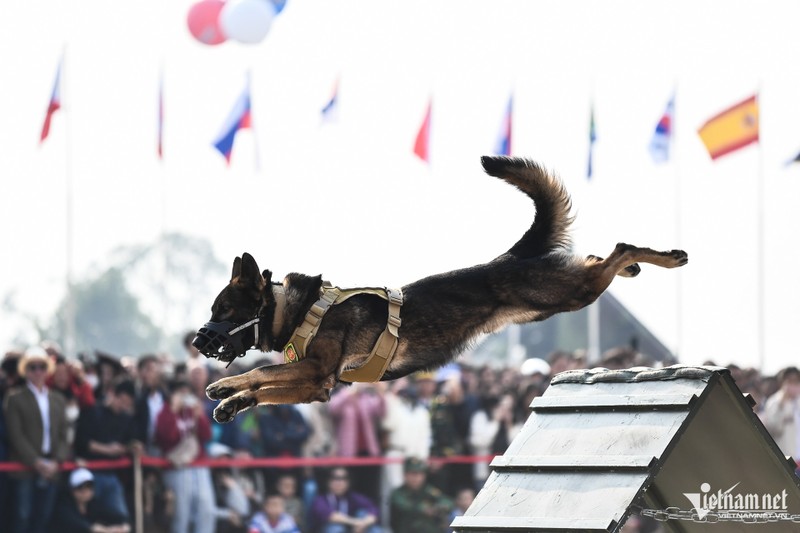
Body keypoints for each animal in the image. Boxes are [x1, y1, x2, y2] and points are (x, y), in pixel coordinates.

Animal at [194, 156, 688, 422]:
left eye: (223, 310)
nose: (198, 342)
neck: (299, 310)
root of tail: (509, 257)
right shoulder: (319, 385)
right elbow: (266, 385)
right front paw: (234, 400)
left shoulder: (315, 373)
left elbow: (263, 371)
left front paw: (227, 387)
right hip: (555, 299)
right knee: (598, 258)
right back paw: (637, 267)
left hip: (566, 295)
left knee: (620, 248)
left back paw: (666, 257)